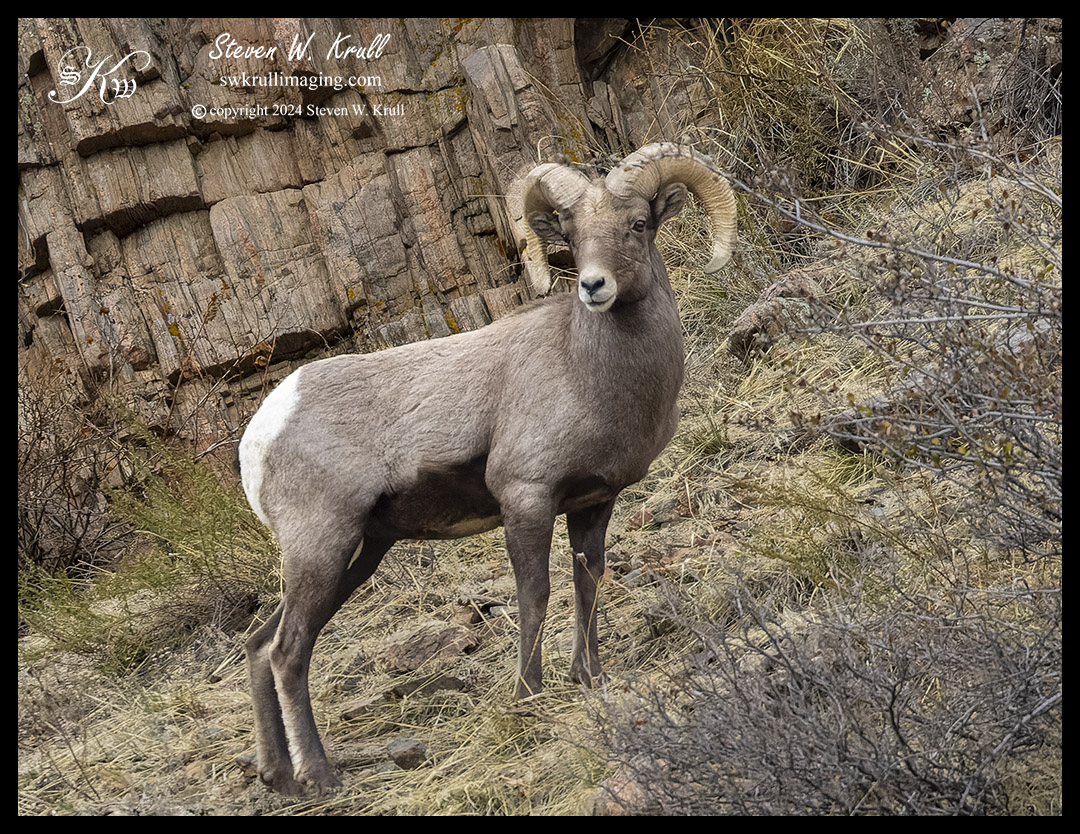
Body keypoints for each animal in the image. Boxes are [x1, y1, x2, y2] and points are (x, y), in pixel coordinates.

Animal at [238, 142, 738, 794]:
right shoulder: (526, 498)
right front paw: (529, 696)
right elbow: (535, 594)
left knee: (258, 643)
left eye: (637, 224)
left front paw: (590, 679)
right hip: (321, 546)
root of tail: (260, 434)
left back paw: (279, 778)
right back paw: (320, 779)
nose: (593, 286)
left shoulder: (593, 504)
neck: (589, 373)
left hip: (356, 552)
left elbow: (588, 582)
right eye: (571, 235)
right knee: (288, 651)